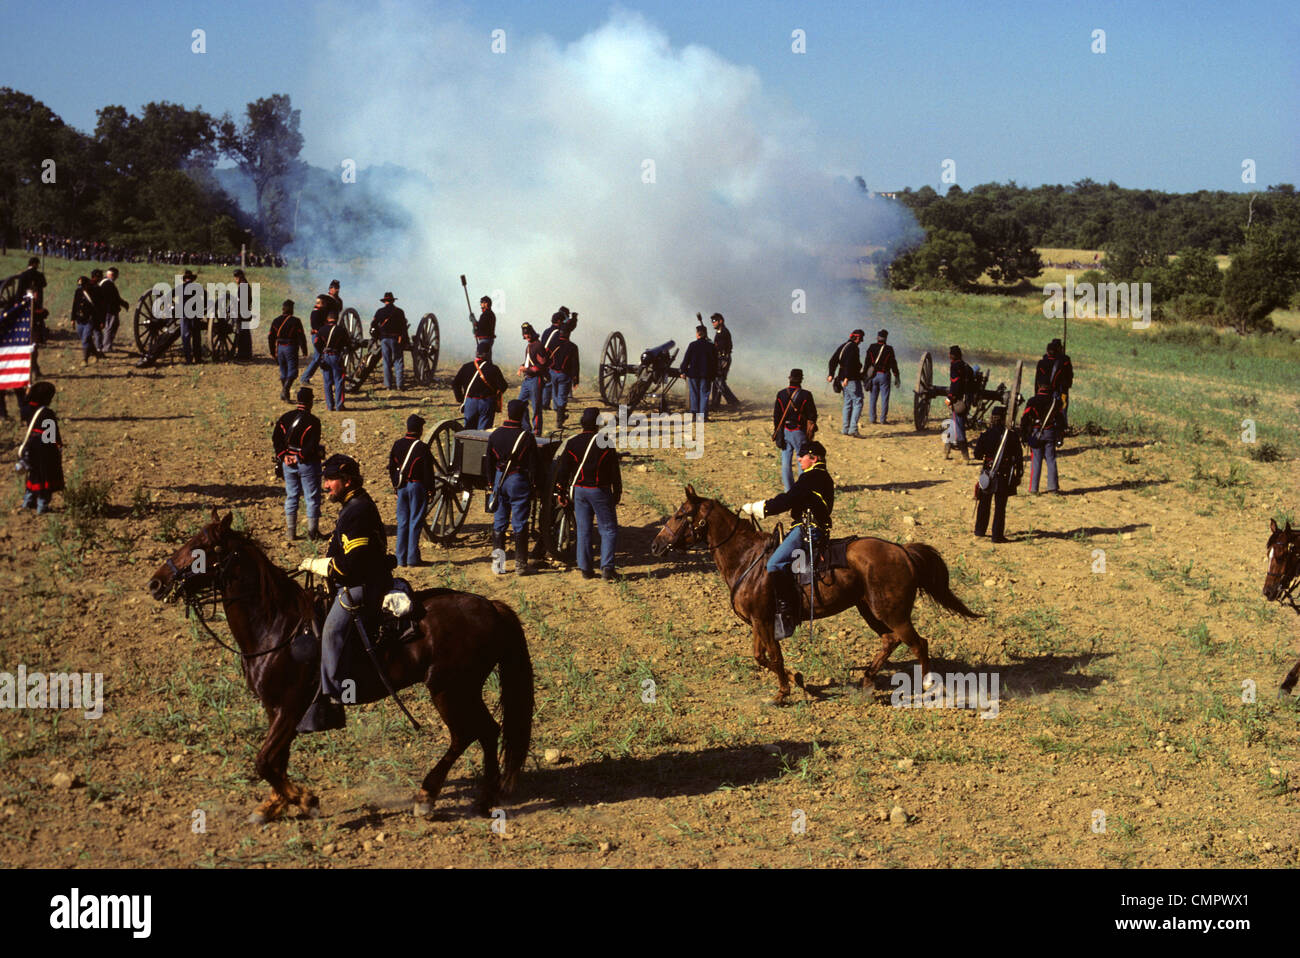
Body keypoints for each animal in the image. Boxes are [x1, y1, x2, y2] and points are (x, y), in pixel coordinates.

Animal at [142, 512, 527, 816]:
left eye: (199, 548)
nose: (156, 583)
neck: (277, 626)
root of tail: (491, 607)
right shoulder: (276, 708)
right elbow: (277, 760)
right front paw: (276, 804)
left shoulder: (291, 706)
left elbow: (265, 761)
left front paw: (304, 799)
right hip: (464, 690)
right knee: (489, 731)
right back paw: (485, 798)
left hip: (449, 690)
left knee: (466, 735)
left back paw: (428, 796)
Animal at [650, 486, 977, 701]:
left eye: (680, 514)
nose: (655, 545)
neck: (747, 558)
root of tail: (902, 550)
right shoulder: (758, 621)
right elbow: (761, 656)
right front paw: (796, 680)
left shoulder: (766, 621)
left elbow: (774, 657)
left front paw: (785, 690)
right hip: (869, 610)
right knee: (890, 640)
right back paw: (867, 681)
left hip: (892, 613)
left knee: (919, 644)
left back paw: (927, 688)